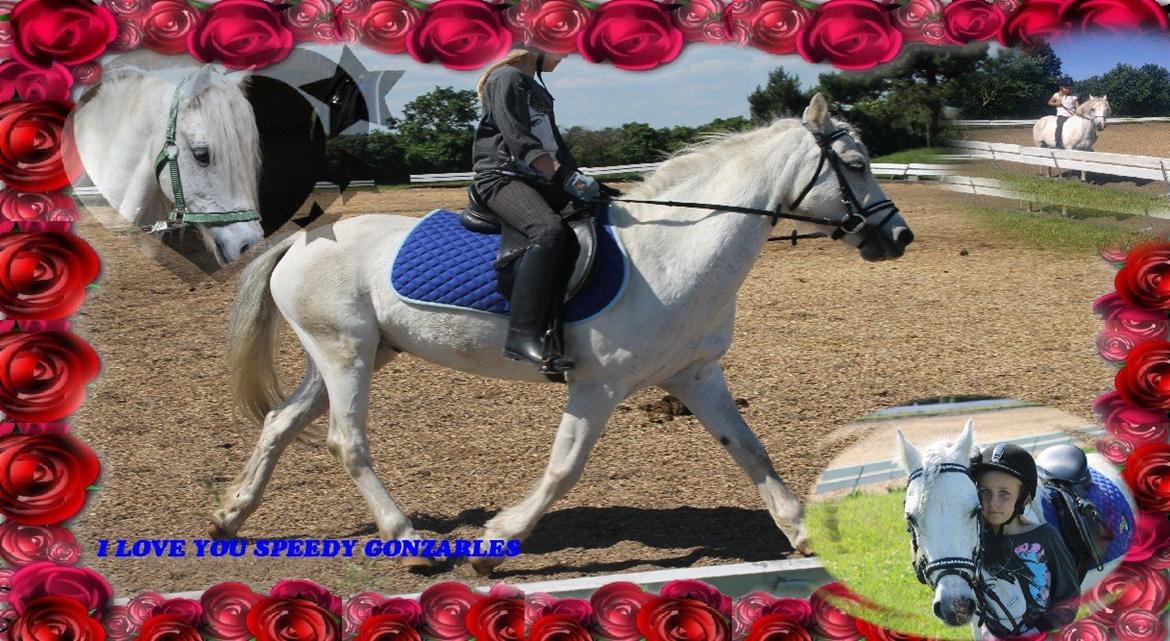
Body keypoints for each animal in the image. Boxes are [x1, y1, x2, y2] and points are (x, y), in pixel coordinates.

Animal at [209, 93, 915, 574]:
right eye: (855, 164)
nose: (899, 237)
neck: (670, 253)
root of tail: (302, 238)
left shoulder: (694, 373)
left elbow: (751, 450)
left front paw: (803, 533)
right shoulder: (599, 385)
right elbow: (564, 467)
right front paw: (496, 543)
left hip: (352, 353)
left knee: (280, 423)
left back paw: (229, 517)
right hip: (346, 352)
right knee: (345, 440)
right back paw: (409, 539)